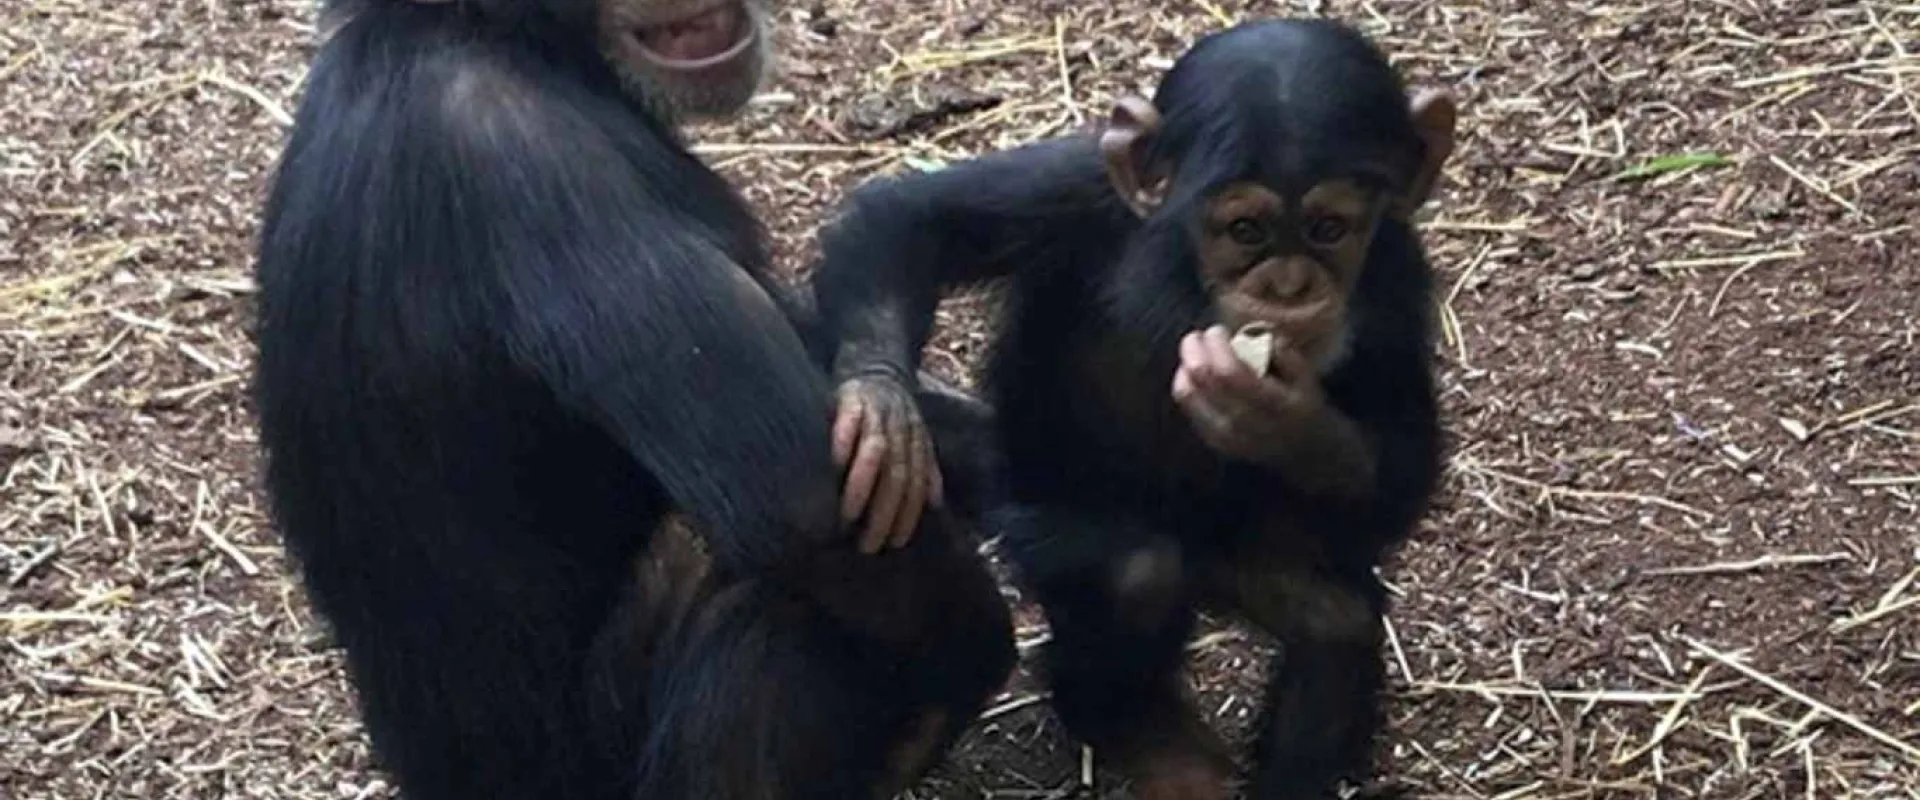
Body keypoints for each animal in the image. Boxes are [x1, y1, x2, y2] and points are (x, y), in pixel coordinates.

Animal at [810, 18, 1451, 798]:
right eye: (1246, 230)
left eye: (1329, 228)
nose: (1290, 287)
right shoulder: (1080, 187)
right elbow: (922, 221)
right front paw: (882, 415)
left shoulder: (1399, 283)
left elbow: (1402, 466)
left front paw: (1280, 420)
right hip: (1036, 512)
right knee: (1138, 571)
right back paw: (1134, 727)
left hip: (1242, 550)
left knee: (1336, 621)